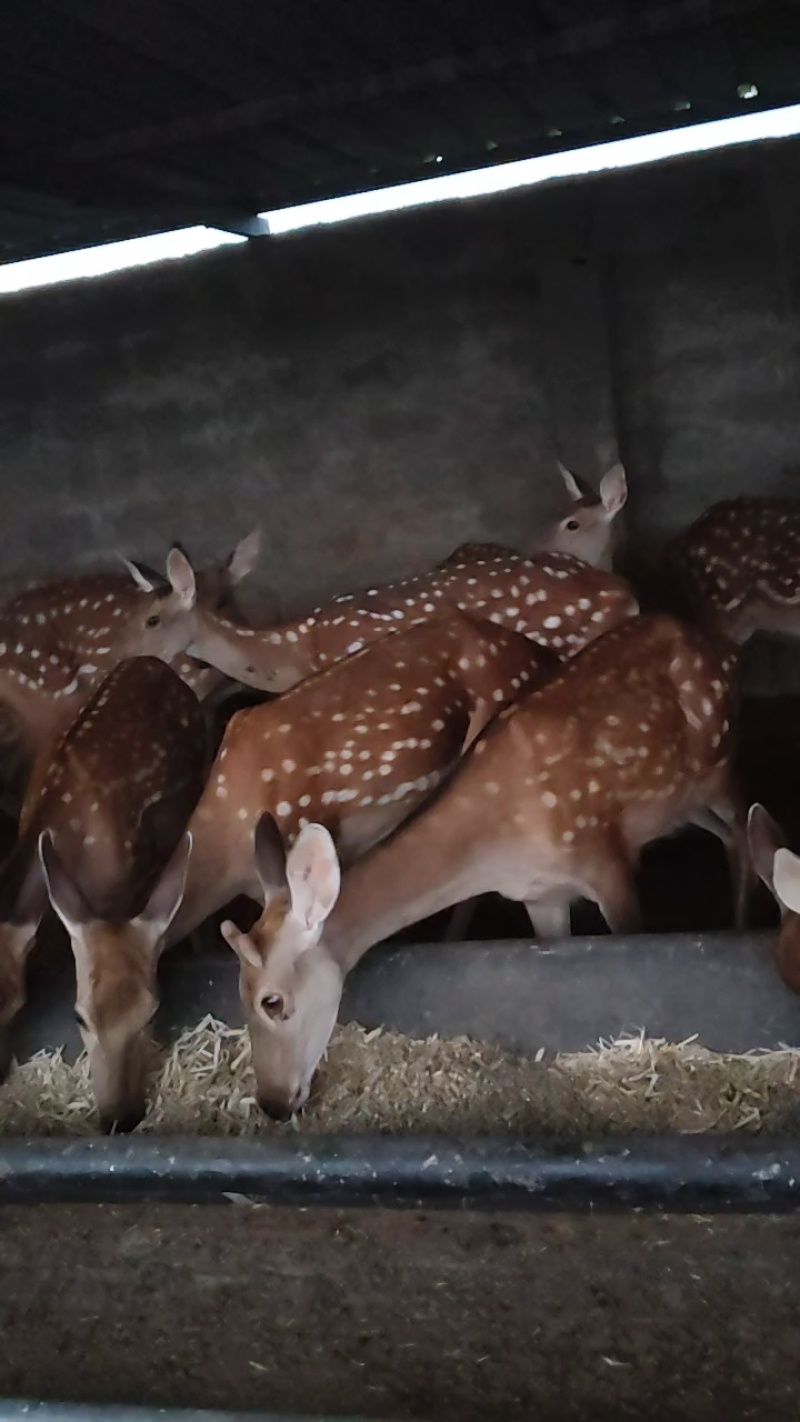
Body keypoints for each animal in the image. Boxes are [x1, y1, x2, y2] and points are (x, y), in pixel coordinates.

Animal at [212, 614, 747, 1117]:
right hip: (683, 801)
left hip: (722, 762)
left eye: (272, 1002)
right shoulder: (540, 895)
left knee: (749, 830)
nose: (273, 1103)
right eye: (236, 994)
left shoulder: (605, 857)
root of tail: (717, 643)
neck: (501, 843)